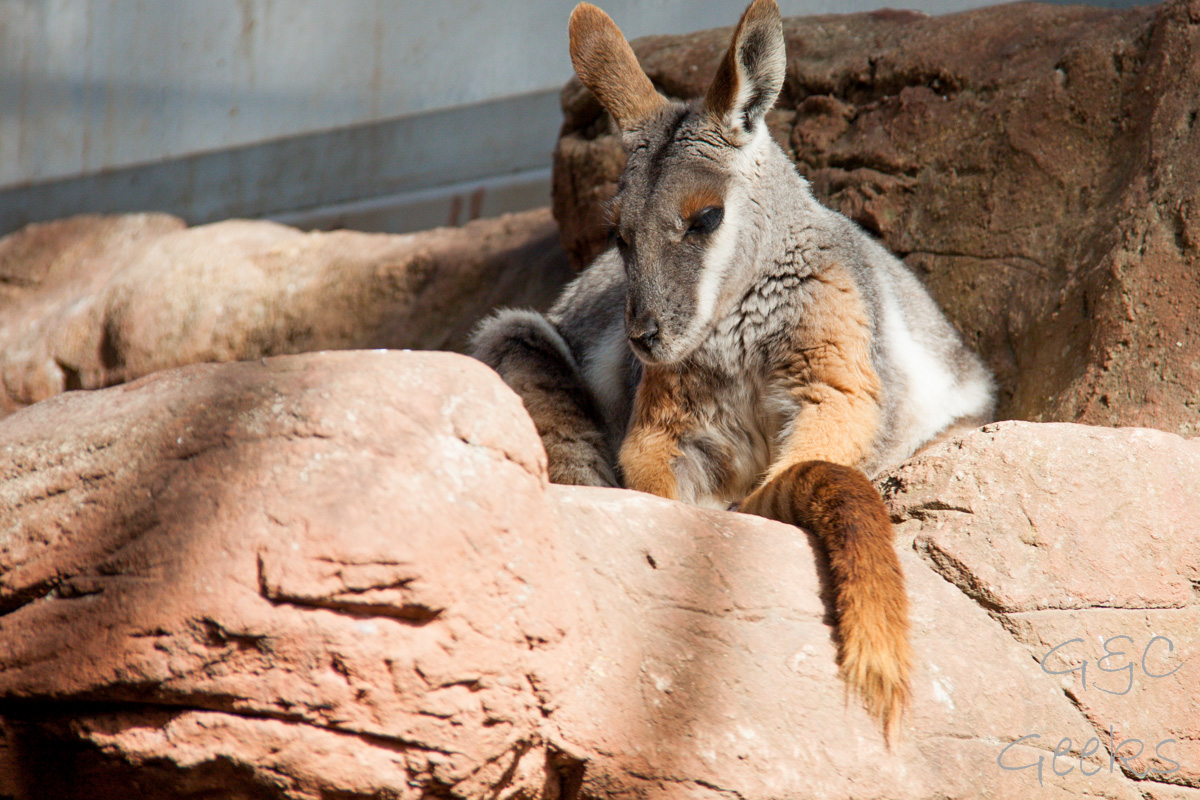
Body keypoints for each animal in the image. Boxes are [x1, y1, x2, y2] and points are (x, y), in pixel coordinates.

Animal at [472, 0, 994, 739]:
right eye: (619, 234)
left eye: (706, 219)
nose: (644, 338)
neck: (734, 318)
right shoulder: (664, 410)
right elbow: (651, 466)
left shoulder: (840, 365)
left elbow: (832, 424)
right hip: (517, 339)